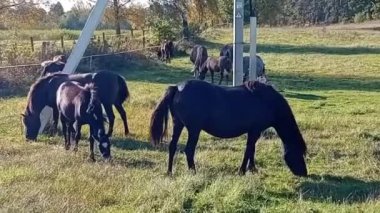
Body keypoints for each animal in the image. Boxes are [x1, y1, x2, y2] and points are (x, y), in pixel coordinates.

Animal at [150, 80, 308, 176]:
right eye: (299, 153)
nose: (304, 173)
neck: (268, 102)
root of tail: (177, 88)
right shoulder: (255, 131)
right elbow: (249, 150)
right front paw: (242, 171)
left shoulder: (254, 132)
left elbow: (252, 150)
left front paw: (252, 168)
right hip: (194, 129)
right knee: (189, 150)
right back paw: (194, 172)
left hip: (178, 124)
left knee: (172, 146)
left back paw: (169, 172)